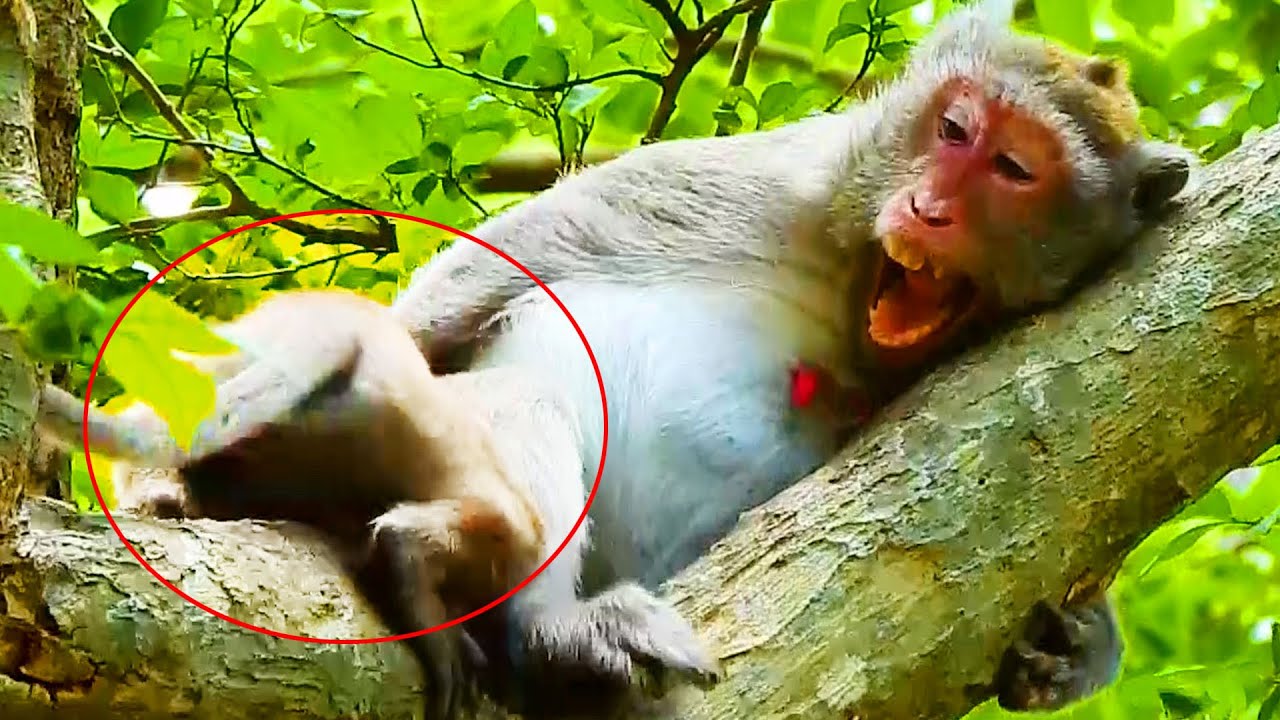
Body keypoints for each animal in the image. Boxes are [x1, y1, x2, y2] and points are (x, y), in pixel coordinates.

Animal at [386, 0, 1197, 715]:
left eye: (1014, 167)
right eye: (953, 128)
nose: (928, 211)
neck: (846, 290)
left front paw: (1083, 642)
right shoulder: (748, 184)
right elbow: (456, 293)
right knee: (523, 399)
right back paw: (550, 627)